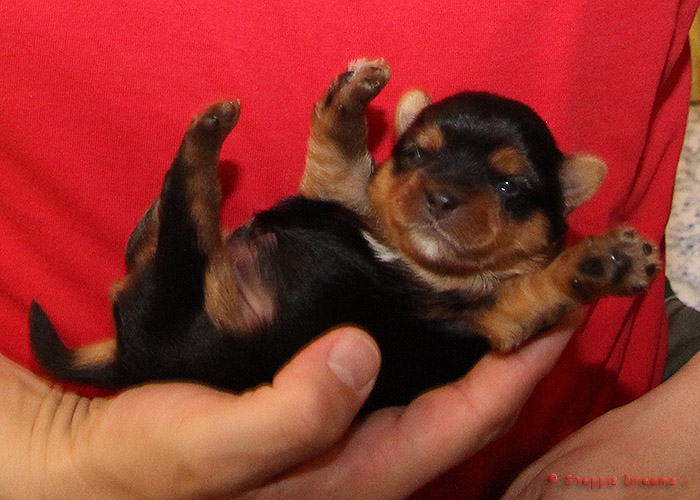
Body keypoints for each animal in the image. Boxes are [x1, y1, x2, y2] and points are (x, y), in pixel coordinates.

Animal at [29, 59, 660, 411]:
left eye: (509, 184)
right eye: (416, 154)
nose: (441, 197)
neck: (411, 260)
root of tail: (127, 359)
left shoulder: (496, 321)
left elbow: (541, 285)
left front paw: (607, 260)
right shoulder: (336, 193)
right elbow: (339, 156)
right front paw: (352, 95)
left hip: (188, 300)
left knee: (188, 206)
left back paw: (206, 133)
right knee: (163, 232)